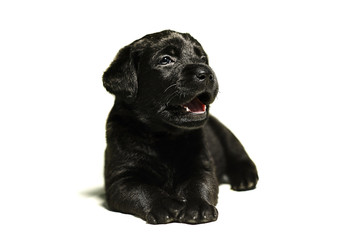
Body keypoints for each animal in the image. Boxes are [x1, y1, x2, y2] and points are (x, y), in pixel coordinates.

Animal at [102, 30, 258, 225]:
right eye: (166, 60)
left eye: (203, 58)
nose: (206, 73)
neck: (164, 137)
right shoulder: (121, 179)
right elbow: (142, 190)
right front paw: (166, 205)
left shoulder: (202, 167)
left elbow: (198, 185)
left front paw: (198, 207)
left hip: (224, 133)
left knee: (238, 152)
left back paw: (245, 177)